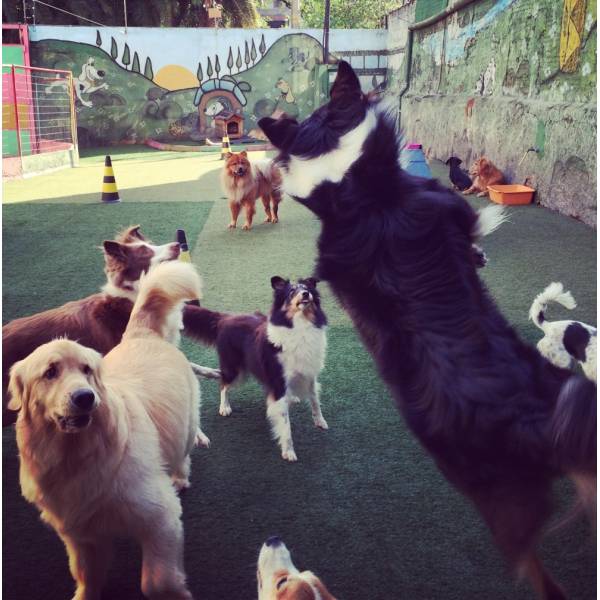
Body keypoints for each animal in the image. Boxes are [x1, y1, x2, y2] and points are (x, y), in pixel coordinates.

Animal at [5, 262, 209, 600]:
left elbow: (156, 582)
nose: (85, 397)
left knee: (184, 450)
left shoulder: (160, 517)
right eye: (50, 373)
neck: (77, 455)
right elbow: (86, 576)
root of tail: (141, 333)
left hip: (186, 420)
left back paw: (181, 475)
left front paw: (178, 593)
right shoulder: (81, 535)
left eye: (87, 370)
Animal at [186, 274, 330, 462]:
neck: (299, 325)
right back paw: (224, 407)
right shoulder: (278, 381)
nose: (306, 294)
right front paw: (288, 451)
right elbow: (286, 425)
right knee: (223, 383)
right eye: (292, 291)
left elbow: (315, 400)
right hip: (236, 370)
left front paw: (320, 421)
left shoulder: (309, 374)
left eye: (306, 288)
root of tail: (225, 318)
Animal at [260, 59, 596, 596]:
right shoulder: (446, 208)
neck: (358, 186)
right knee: (534, 563)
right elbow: (474, 222)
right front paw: (484, 238)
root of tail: (527, 417)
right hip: (503, 495)